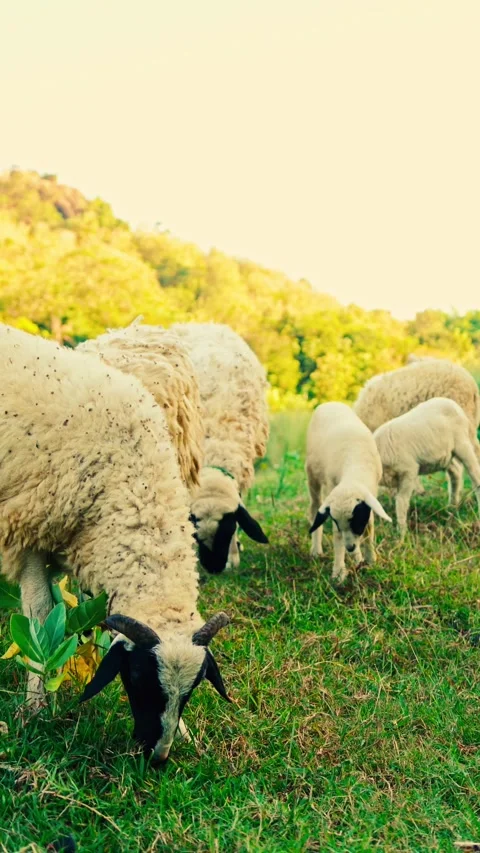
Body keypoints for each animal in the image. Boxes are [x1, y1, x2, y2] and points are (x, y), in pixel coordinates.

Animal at [306, 403, 391, 583]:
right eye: (336, 521)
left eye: (356, 520)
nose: (350, 547)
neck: (355, 465)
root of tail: (329, 403)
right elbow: (337, 536)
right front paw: (339, 572)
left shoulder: (370, 496)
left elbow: (369, 528)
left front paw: (370, 560)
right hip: (312, 474)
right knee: (314, 507)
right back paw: (316, 549)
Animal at [373, 397, 480, 540]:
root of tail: (450, 402)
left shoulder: (409, 470)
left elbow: (401, 502)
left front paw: (401, 534)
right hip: (445, 454)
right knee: (455, 472)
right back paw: (452, 507)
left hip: (463, 443)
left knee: (474, 473)